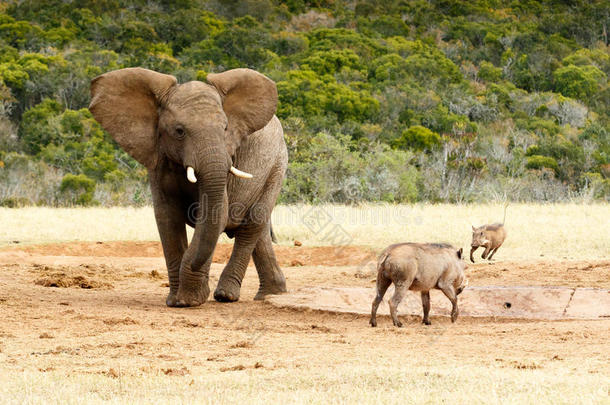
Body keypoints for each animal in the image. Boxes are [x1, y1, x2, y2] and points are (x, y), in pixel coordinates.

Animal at [88, 67, 288, 306]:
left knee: (253, 223)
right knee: (258, 229)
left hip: (276, 164)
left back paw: (227, 295)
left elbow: (215, 215)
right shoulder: (158, 159)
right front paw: (177, 301)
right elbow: (166, 217)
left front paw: (190, 300)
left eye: (225, 128)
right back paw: (270, 294)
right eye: (179, 131)